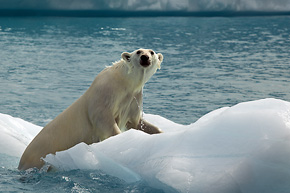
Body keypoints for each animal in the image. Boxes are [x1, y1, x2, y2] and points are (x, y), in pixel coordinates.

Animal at [18, 48, 163, 170]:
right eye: (138, 52)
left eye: (152, 52)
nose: (145, 57)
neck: (123, 82)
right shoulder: (104, 95)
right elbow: (105, 120)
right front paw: (120, 138)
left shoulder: (133, 99)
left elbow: (136, 122)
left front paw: (157, 133)